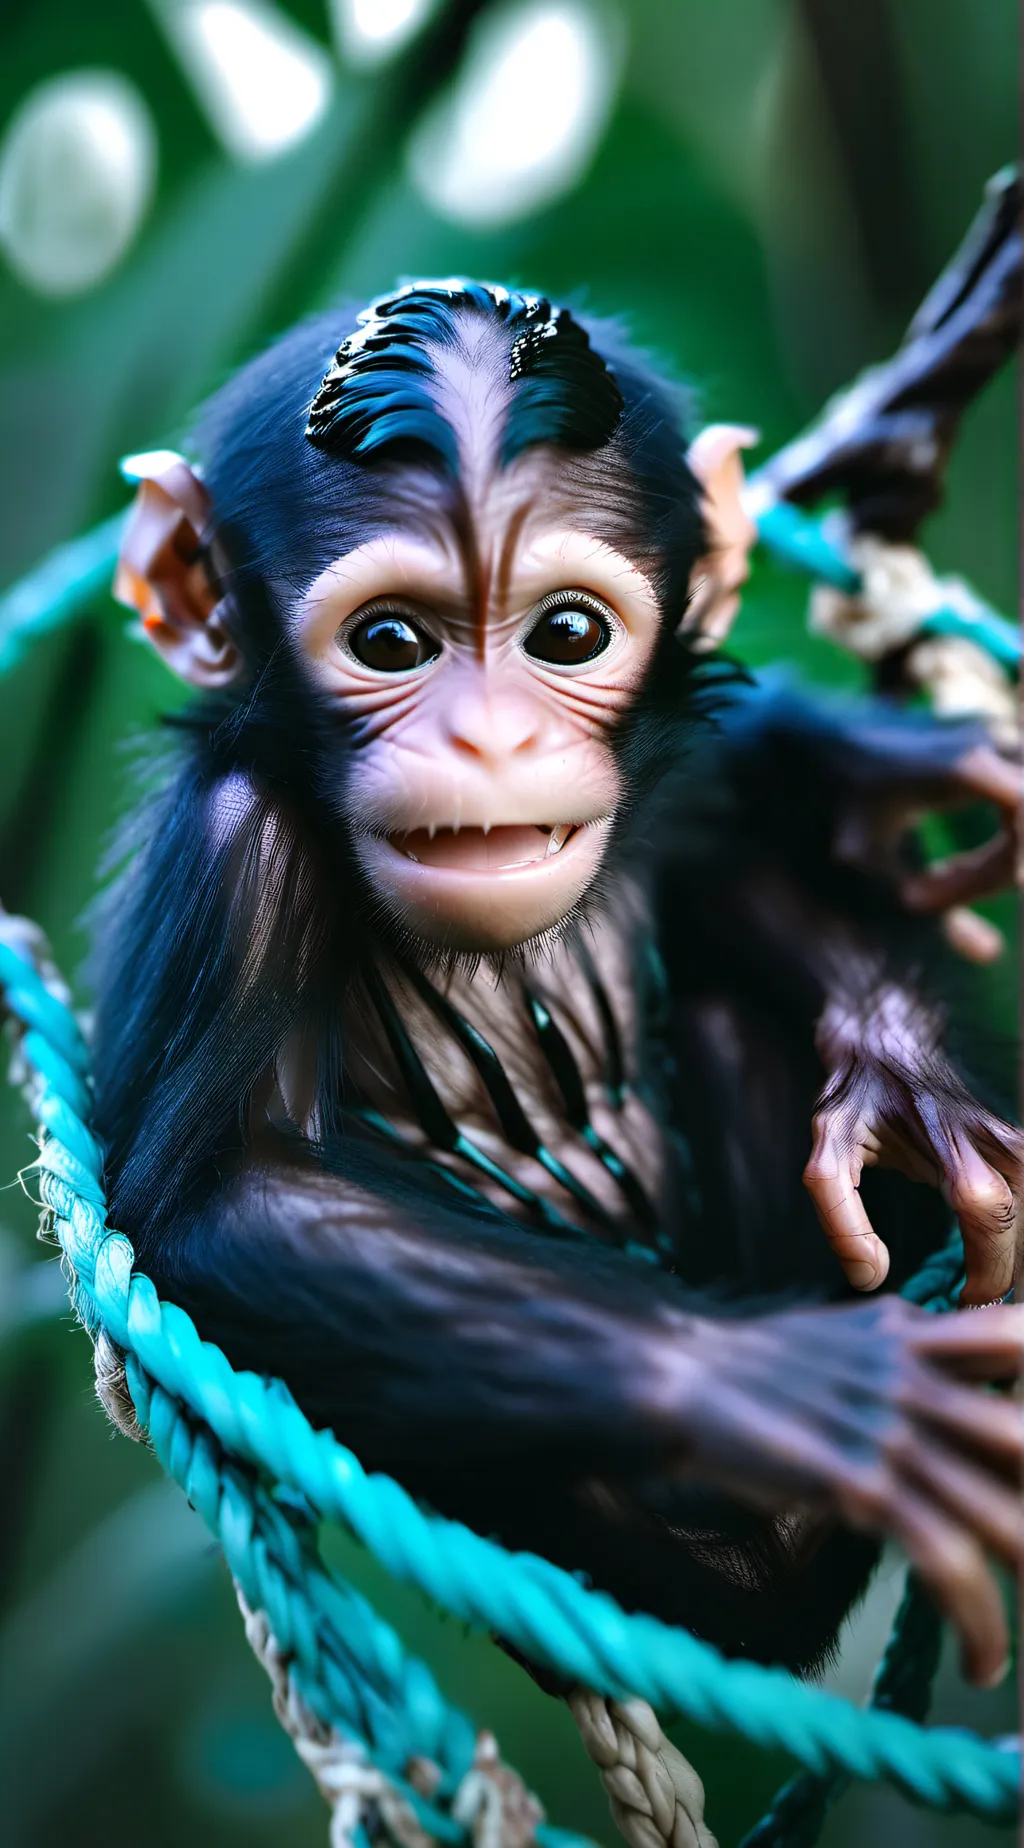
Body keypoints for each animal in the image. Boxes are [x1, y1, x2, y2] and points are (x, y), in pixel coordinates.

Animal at [93, 281, 1023, 1694]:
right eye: (390, 642)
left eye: (567, 634)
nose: (490, 737)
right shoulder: (230, 847)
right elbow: (222, 1193)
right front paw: (776, 1385)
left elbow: (733, 832)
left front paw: (906, 1074)